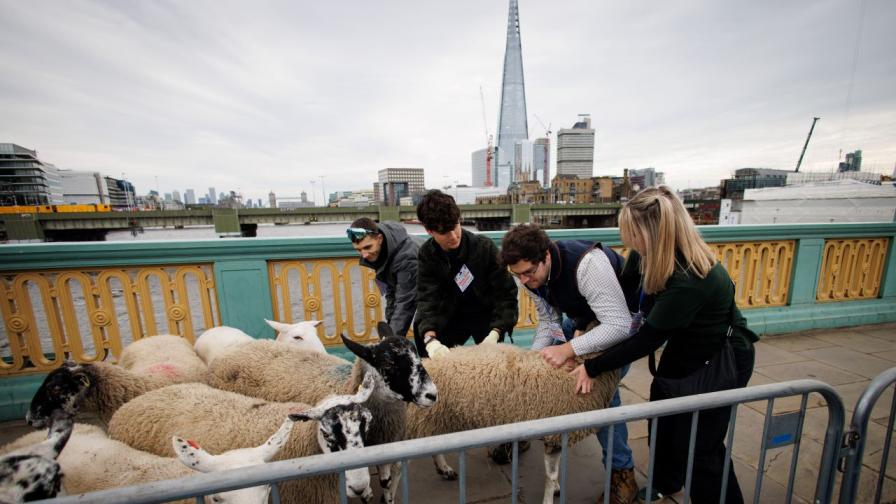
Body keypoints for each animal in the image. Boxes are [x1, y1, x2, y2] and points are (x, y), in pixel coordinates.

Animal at [404, 342, 620, 504]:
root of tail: (429, 364)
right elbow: (550, 475)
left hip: (436, 416)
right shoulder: (555, 434)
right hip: (424, 418)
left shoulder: (557, 435)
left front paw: (556, 488)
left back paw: (445, 470)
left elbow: (554, 471)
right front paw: (549, 498)